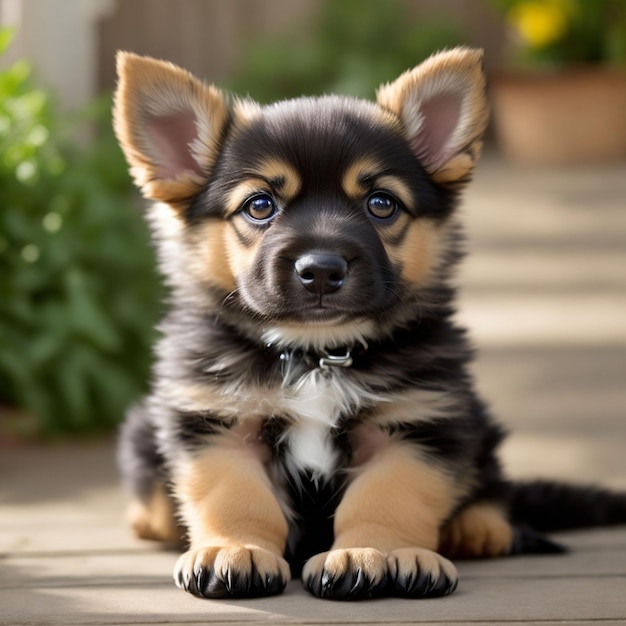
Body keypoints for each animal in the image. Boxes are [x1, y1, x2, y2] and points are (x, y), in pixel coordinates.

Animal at [113, 46, 624, 596]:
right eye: (260, 205)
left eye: (381, 203)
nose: (320, 270)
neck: (317, 355)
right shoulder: (218, 423)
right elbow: (236, 496)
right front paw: (235, 549)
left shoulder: (415, 425)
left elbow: (385, 498)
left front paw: (375, 553)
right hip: (143, 430)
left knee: (491, 487)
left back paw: (479, 527)